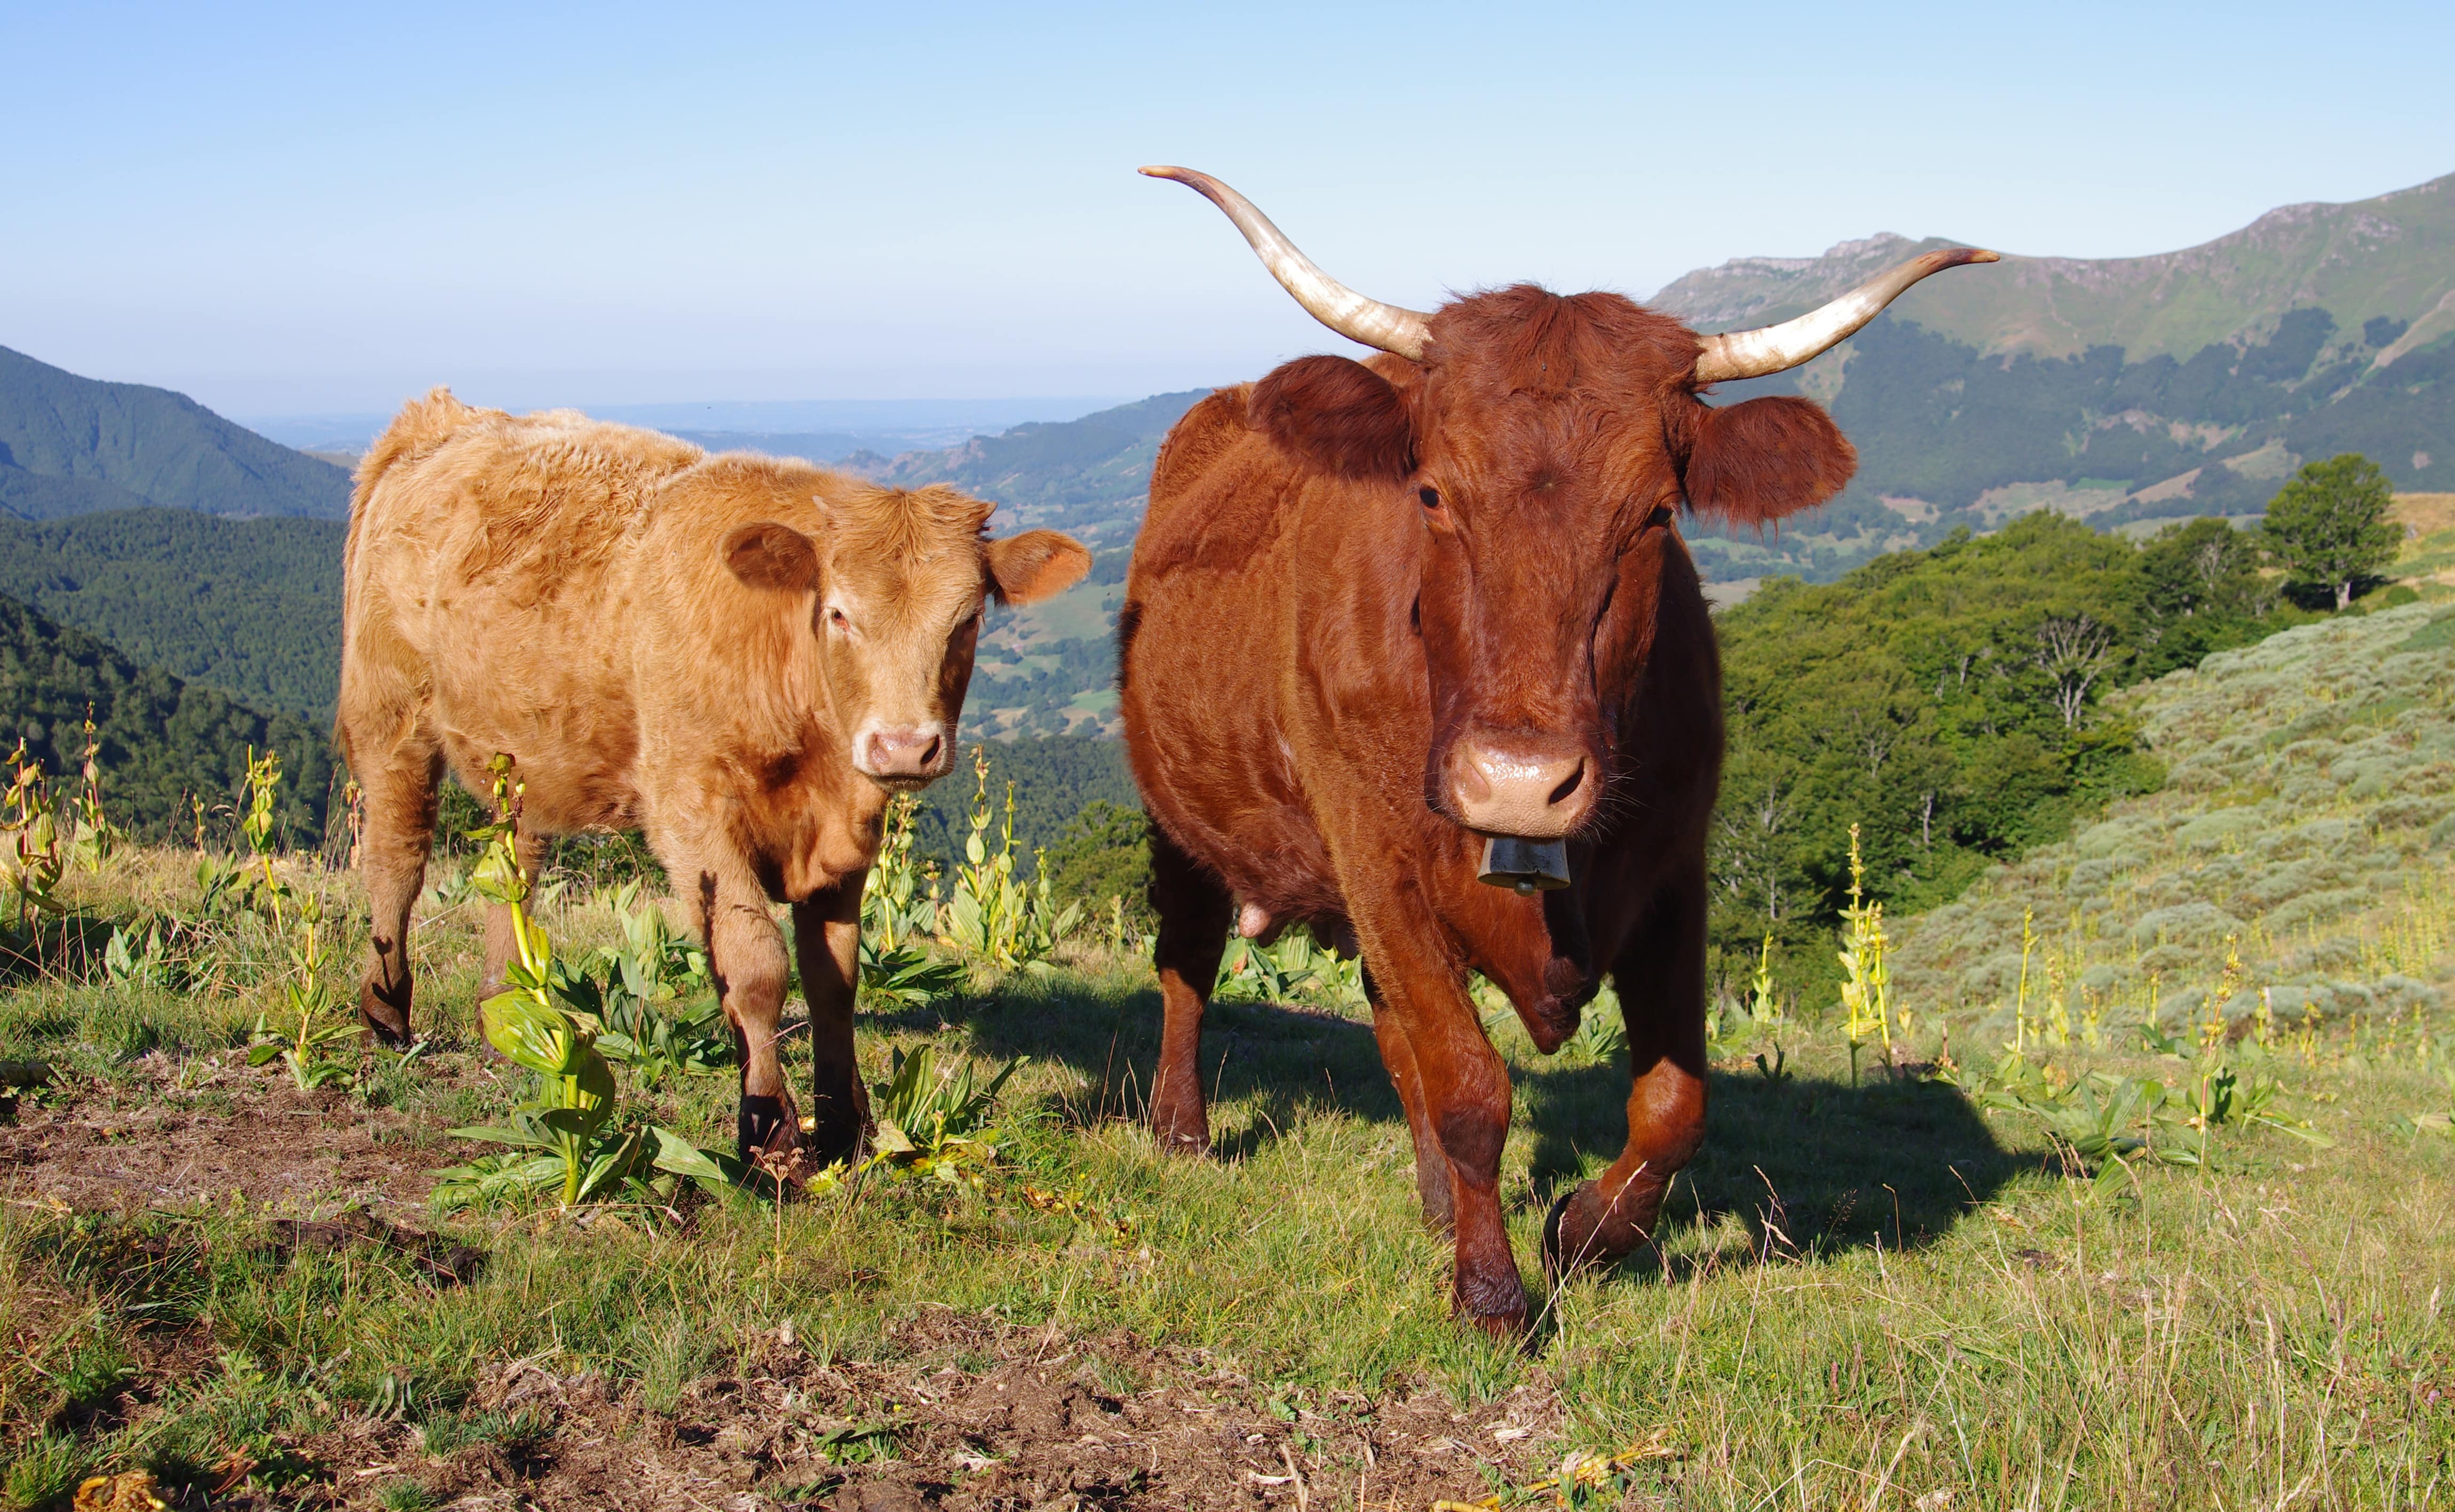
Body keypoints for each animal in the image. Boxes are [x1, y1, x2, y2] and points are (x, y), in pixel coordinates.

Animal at [341, 387, 1090, 1158]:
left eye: (967, 620)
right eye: (839, 613)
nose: (905, 746)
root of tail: (442, 419)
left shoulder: (848, 832)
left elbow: (835, 976)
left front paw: (846, 1128)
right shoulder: (691, 808)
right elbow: (756, 965)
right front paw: (771, 1136)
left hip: (521, 751)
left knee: (513, 864)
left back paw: (508, 1011)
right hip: (388, 711)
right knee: (397, 859)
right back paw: (386, 1013)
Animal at [1124, 168, 1993, 1335]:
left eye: (1657, 512)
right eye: (1431, 491)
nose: (1518, 784)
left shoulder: (1673, 868)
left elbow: (1673, 1102)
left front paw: (1577, 1233)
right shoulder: (1378, 862)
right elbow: (1468, 1086)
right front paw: (1492, 1294)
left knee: (1383, 1022)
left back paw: (1435, 1201)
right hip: (1178, 819)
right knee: (1188, 959)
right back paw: (1182, 1128)